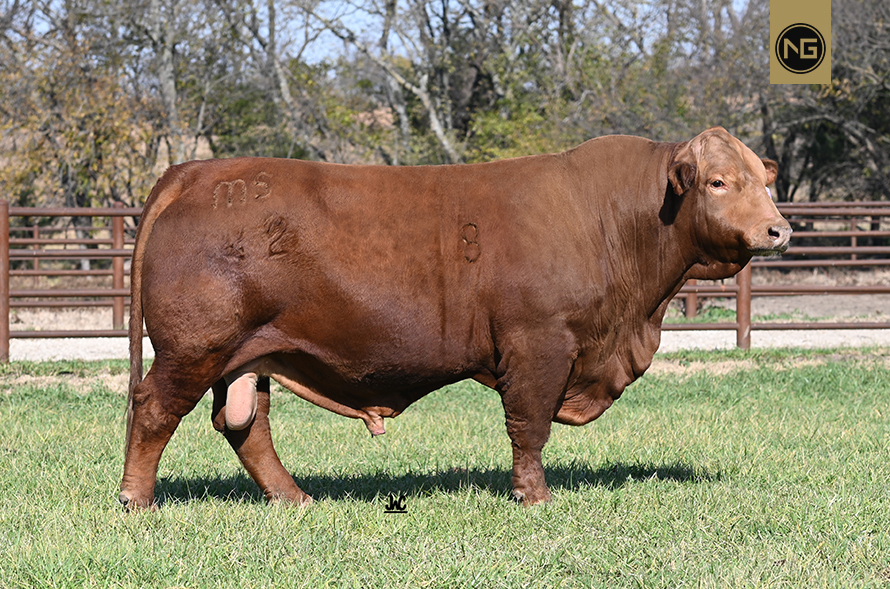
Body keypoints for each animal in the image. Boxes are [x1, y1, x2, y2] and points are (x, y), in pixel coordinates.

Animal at [119, 126, 791, 509]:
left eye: (761, 179)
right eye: (717, 181)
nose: (778, 229)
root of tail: (196, 171)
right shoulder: (539, 345)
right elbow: (529, 428)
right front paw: (535, 499)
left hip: (249, 354)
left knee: (244, 425)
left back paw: (295, 500)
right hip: (195, 346)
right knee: (154, 409)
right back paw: (137, 503)